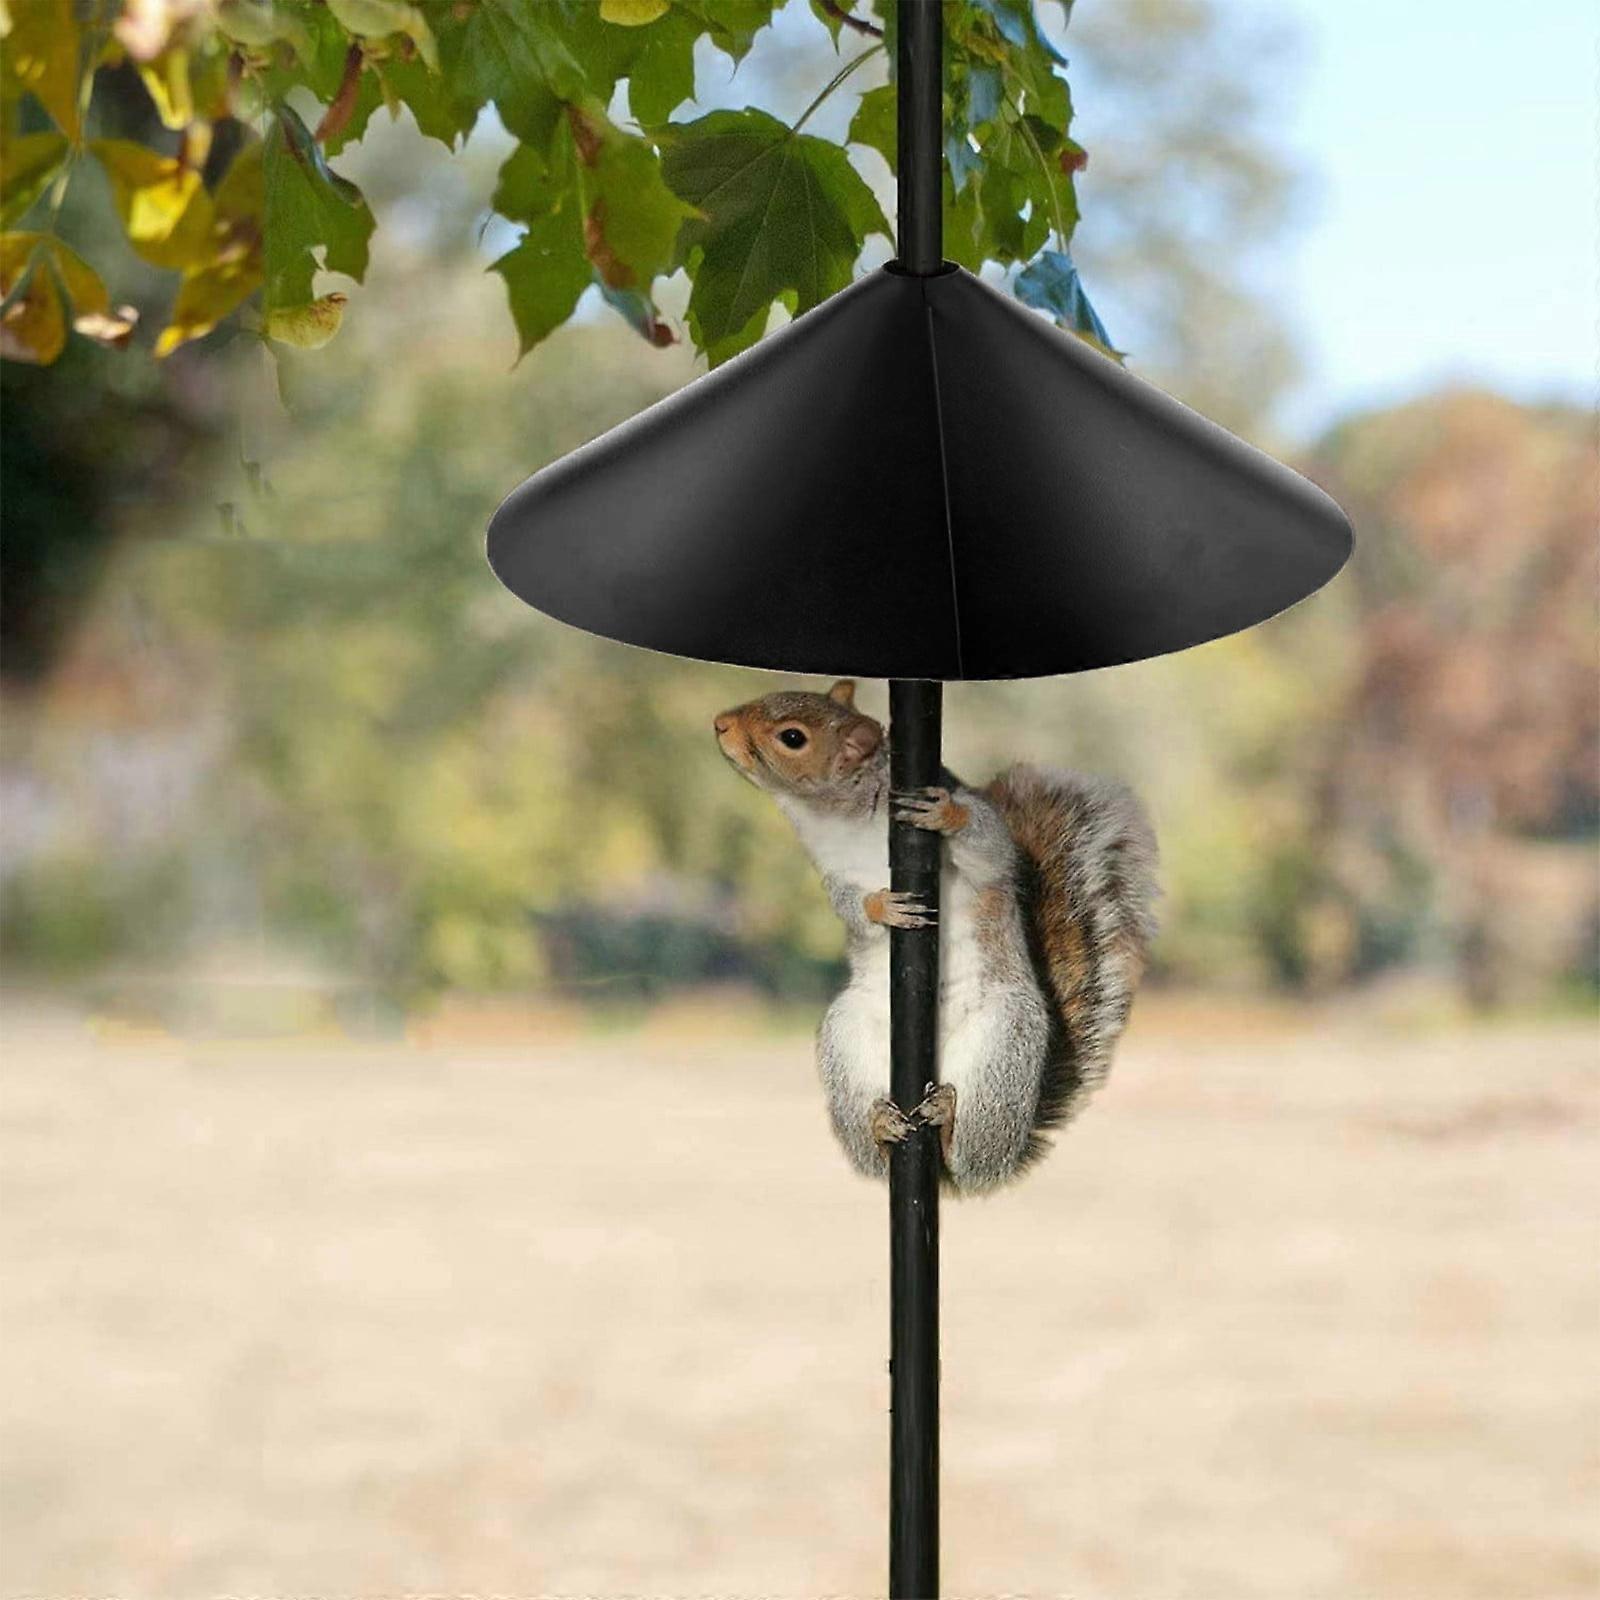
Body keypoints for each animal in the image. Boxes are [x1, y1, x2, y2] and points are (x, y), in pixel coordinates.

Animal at [714, 680, 1159, 1195]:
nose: (720, 724)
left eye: (792, 737)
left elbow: (991, 849)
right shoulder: (833, 873)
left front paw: (946, 814)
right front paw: (881, 908)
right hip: (846, 1037)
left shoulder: (983, 842)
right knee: (876, 1158)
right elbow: (849, 905)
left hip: (1005, 1043)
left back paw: (948, 1125)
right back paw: (881, 1128)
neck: (841, 817)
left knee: (970, 1158)